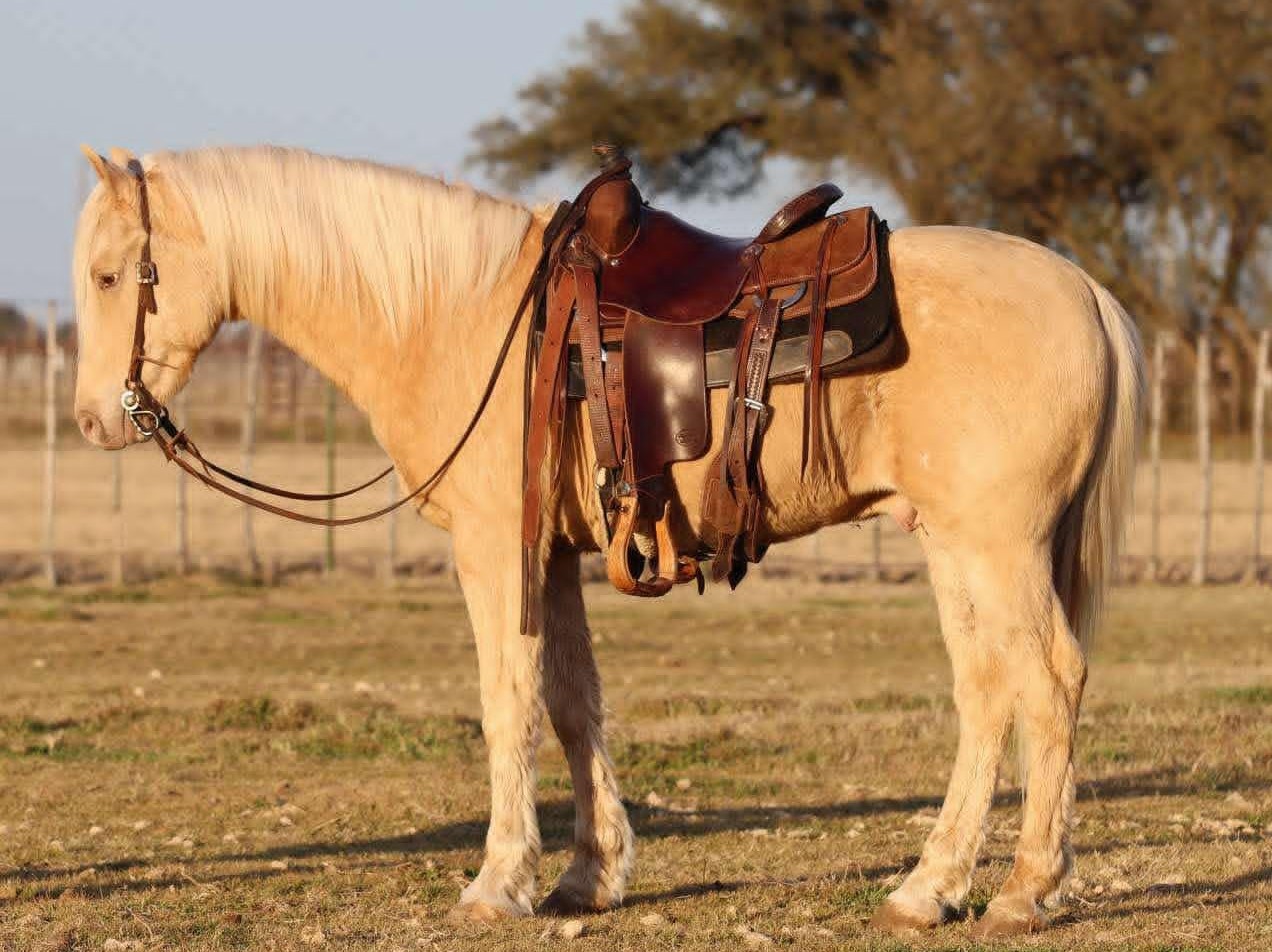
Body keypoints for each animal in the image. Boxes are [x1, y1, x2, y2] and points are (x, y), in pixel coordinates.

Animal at [72, 144, 1142, 939]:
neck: (461, 314)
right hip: (955, 548)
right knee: (989, 693)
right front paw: (590, 875)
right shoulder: (550, 555)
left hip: (997, 550)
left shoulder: (495, 550)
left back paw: (1024, 889)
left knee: (1049, 679)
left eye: (112, 274)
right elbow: (573, 702)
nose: (92, 421)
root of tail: (1085, 289)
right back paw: (931, 887)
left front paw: (498, 881)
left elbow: (508, 700)